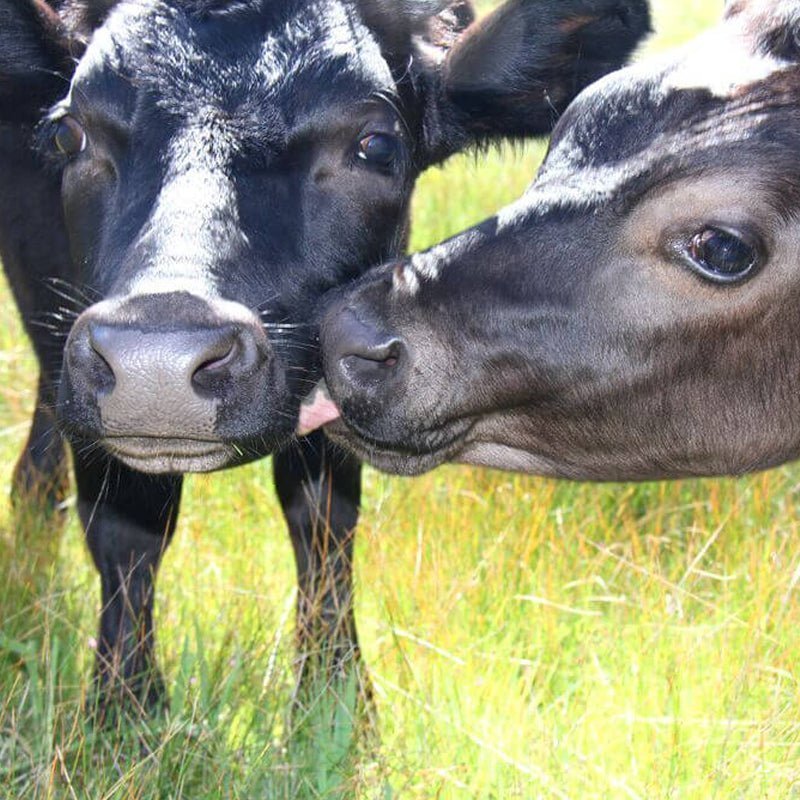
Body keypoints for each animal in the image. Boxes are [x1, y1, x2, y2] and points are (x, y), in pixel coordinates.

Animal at [0, 0, 648, 712]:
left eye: (376, 145)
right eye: (68, 136)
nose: (158, 363)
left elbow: (324, 521)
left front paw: (336, 701)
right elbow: (126, 532)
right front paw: (124, 710)